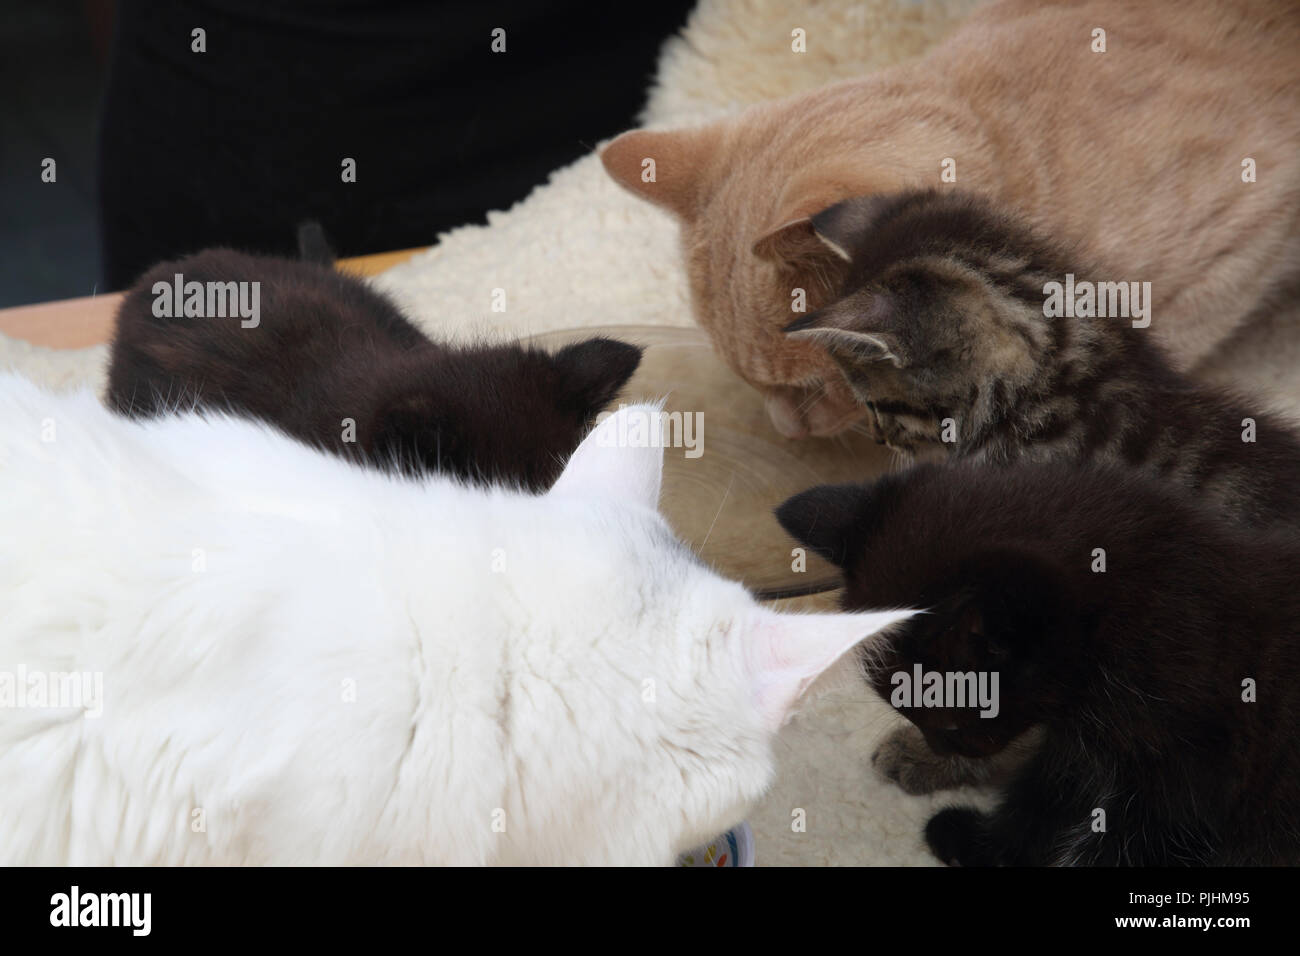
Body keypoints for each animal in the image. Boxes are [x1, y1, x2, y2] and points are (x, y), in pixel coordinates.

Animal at [774, 463, 1300, 868]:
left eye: (952, 726)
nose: (939, 748)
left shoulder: (1181, 787)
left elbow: (1113, 847)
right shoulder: (1081, 748)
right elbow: (1045, 799)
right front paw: (984, 845)